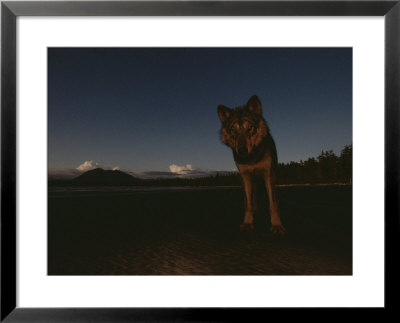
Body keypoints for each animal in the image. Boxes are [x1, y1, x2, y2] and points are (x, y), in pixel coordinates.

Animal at [217, 95, 286, 234]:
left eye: (249, 128)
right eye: (234, 131)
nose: (242, 150)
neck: (252, 157)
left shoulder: (269, 175)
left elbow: (273, 204)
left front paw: (276, 225)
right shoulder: (245, 177)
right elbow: (247, 203)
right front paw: (248, 222)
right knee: (253, 197)